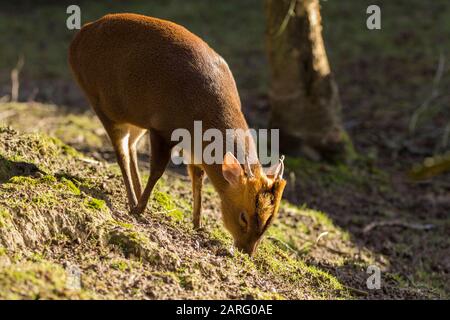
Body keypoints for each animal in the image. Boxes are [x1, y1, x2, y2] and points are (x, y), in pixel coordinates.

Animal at [68, 13, 286, 255]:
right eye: (243, 217)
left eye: (269, 222)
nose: (247, 251)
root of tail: (79, 36)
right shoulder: (162, 127)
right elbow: (157, 170)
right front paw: (140, 209)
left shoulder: (192, 148)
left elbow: (197, 178)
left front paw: (197, 224)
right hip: (101, 104)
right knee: (121, 152)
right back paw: (134, 201)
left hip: (136, 119)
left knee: (131, 147)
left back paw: (136, 193)